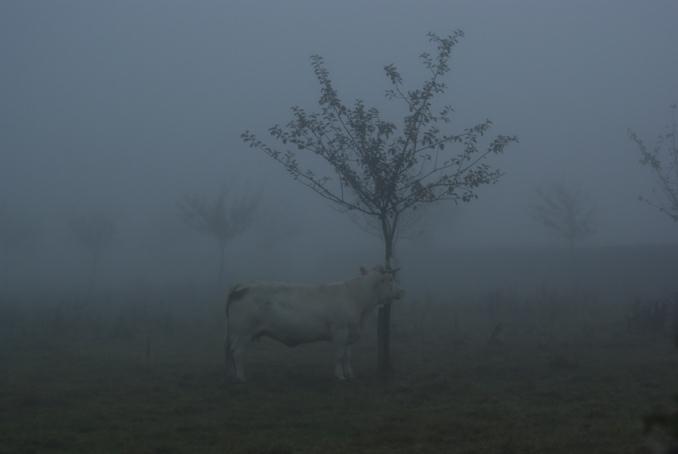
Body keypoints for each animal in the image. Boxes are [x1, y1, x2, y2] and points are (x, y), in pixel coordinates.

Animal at [223, 266, 404, 384]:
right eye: (389, 279)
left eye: (394, 278)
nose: (401, 292)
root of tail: (243, 285)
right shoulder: (340, 331)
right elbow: (339, 355)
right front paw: (340, 376)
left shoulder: (349, 333)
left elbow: (347, 356)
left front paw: (350, 375)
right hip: (242, 332)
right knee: (237, 352)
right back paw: (241, 377)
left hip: (238, 333)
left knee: (231, 352)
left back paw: (232, 375)